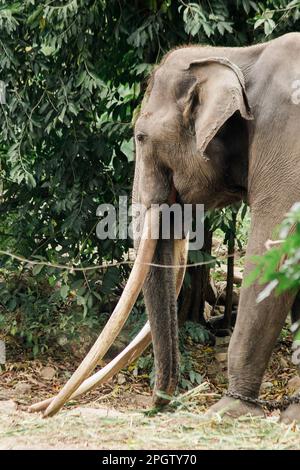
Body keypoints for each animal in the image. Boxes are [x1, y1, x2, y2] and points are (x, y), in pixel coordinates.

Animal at [30, 33, 300, 422]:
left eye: (140, 137)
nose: (157, 405)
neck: (238, 56)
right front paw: (292, 415)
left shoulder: (284, 143)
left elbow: (273, 247)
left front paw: (226, 410)